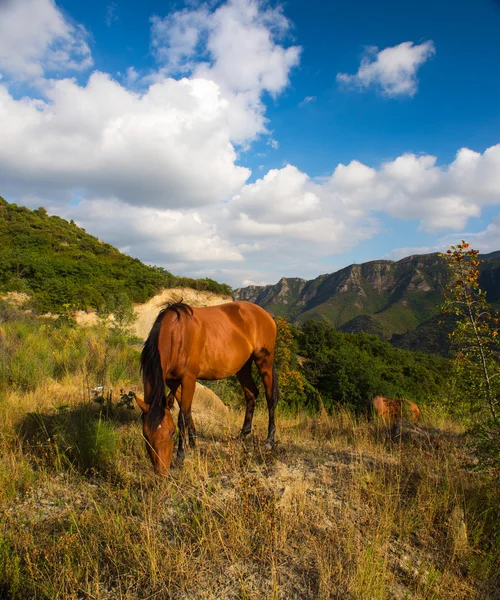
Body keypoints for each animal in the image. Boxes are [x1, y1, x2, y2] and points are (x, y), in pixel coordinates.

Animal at [135, 302, 280, 476]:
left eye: (171, 433)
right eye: (146, 436)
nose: (162, 473)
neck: (176, 335)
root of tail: (265, 315)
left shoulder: (189, 379)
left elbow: (183, 416)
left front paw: (180, 456)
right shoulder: (172, 381)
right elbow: (186, 411)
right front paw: (192, 441)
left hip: (264, 361)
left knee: (270, 397)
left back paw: (270, 440)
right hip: (243, 367)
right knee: (251, 394)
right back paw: (242, 435)